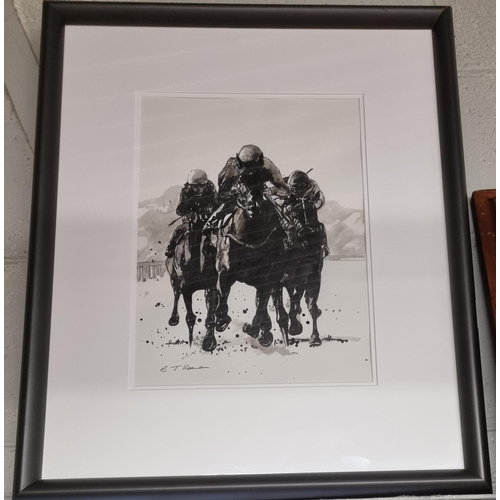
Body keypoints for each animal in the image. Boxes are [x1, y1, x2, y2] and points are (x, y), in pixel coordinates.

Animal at [165, 219, 218, 348]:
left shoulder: (211, 286)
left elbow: (210, 314)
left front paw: (209, 341)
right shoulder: (186, 290)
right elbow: (190, 318)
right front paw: (190, 343)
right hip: (173, 278)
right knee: (176, 293)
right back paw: (173, 318)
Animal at [201, 170, 292, 350]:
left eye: (262, 179)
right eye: (240, 180)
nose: (252, 204)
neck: (252, 237)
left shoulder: (267, 279)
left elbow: (261, 308)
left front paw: (254, 330)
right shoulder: (224, 271)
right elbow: (221, 301)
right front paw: (222, 321)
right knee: (211, 299)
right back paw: (209, 339)